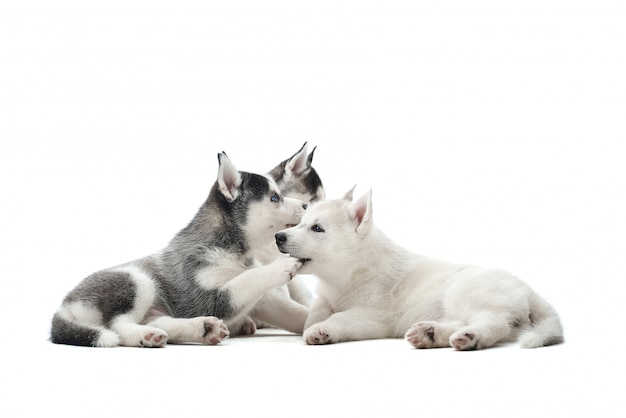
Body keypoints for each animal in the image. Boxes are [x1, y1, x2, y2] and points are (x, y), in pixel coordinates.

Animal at [51, 153, 308, 346]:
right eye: (275, 197)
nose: (306, 205)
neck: (234, 252)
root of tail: (65, 304)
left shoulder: (263, 301)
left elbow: (292, 310)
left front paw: (314, 321)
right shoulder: (206, 297)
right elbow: (249, 278)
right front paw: (281, 266)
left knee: (155, 321)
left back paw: (202, 328)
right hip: (138, 280)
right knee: (118, 325)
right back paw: (145, 336)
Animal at [276, 189, 564, 350]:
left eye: (317, 228)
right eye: (300, 223)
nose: (278, 237)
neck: (351, 272)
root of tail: (530, 290)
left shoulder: (376, 316)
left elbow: (340, 317)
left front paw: (321, 330)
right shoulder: (326, 295)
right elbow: (318, 308)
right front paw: (314, 322)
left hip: (464, 292)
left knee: (495, 322)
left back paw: (470, 337)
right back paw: (432, 334)